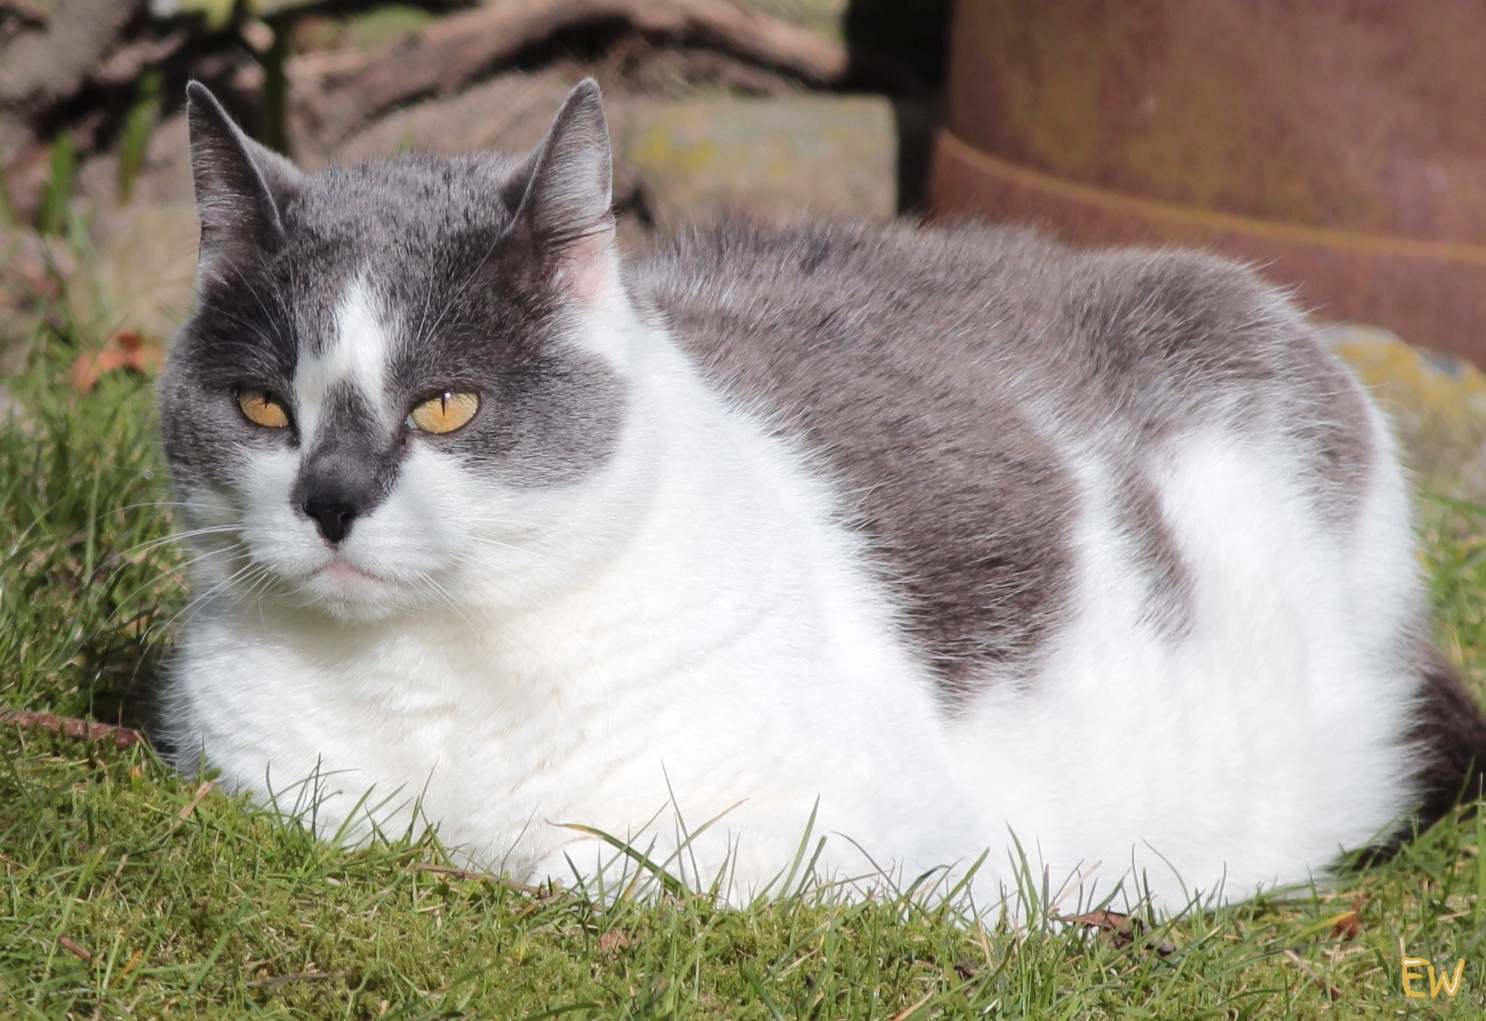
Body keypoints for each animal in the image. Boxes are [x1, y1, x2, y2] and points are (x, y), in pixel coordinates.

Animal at [156, 75, 1486, 915]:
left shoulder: (825, 837)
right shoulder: (251, 777)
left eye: (444, 407)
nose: (329, 501)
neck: (434, 680)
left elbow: (584, 861)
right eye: (262, 406)